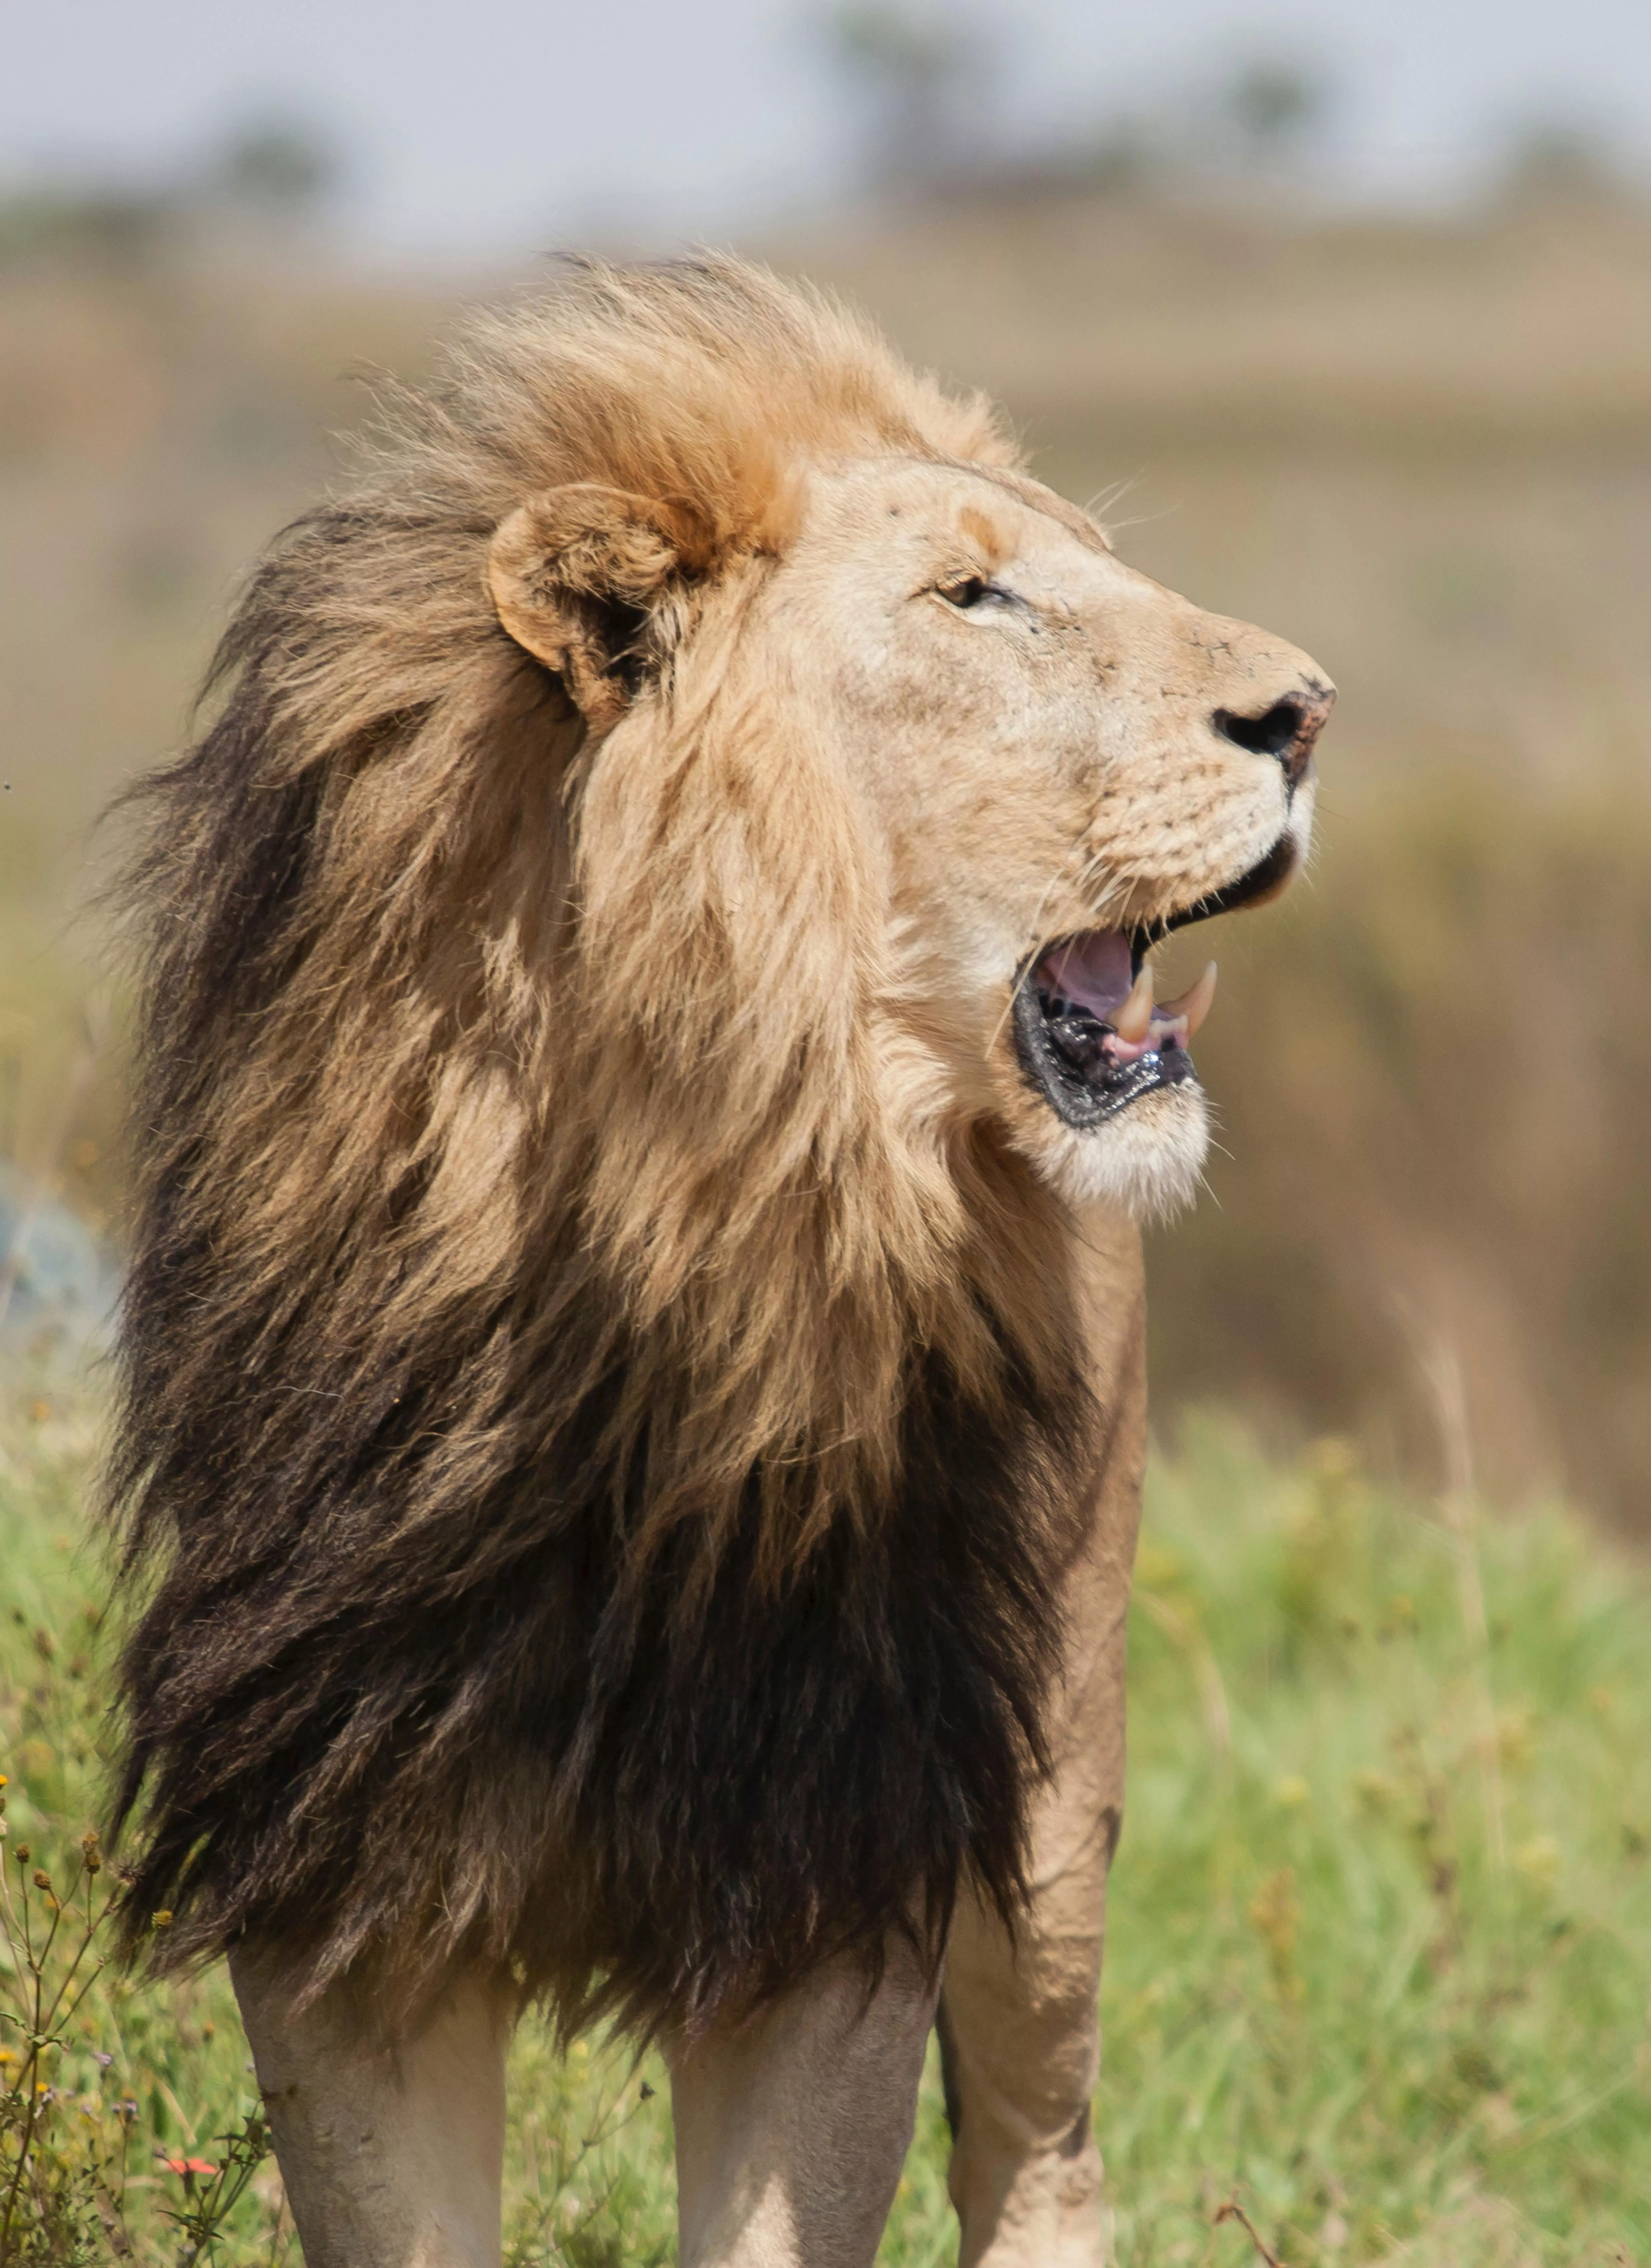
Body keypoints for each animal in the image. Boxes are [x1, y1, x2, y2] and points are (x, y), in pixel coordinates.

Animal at [106, 257, 1332, 2268]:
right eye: (976, 597)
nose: (1309, 713)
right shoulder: (335, 1866)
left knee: (1043, 2147)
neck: (667, 1249)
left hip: (1052, 1784)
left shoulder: (840, 1849)